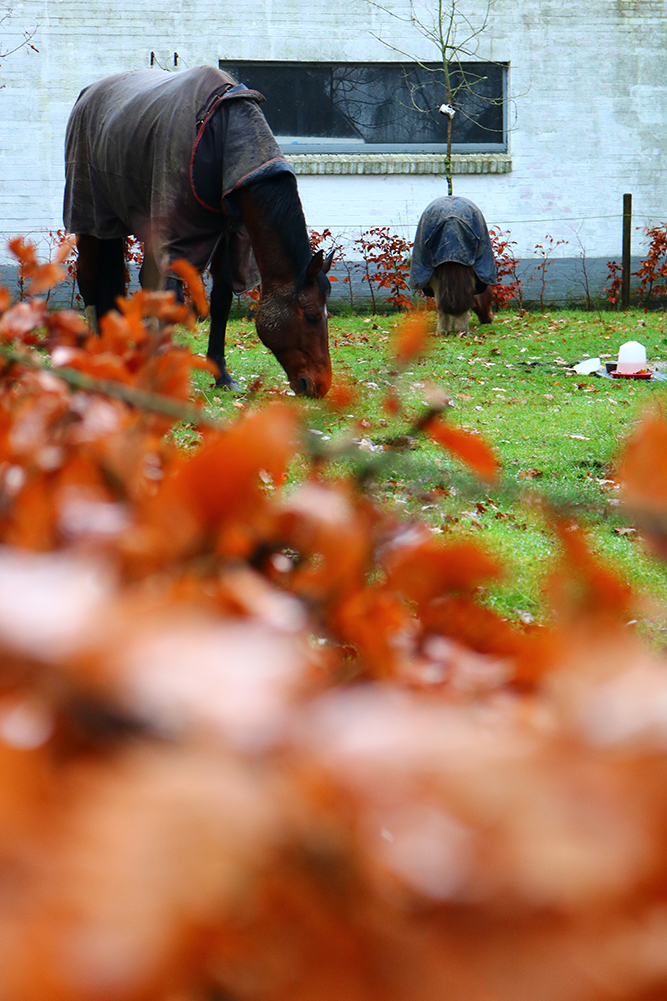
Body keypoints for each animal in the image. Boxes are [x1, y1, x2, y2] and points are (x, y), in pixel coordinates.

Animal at [63, 63, 330, 394]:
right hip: (89, 220)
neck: (222, 133)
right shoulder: (177, 239)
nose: (320, 385)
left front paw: (222, 375)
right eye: (312, 317)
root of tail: (87, 95)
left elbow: (221, 301)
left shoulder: (233, 240)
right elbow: (170, 300)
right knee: (89, 281)